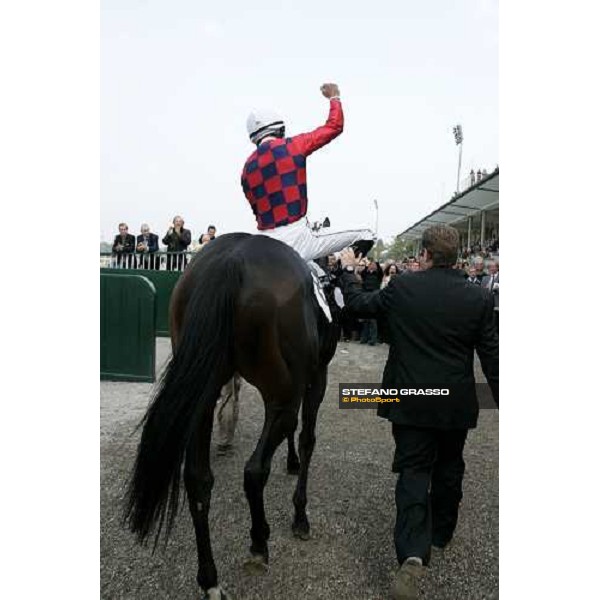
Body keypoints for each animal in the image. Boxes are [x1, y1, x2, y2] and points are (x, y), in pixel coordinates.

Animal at [124, 232, 340, 596]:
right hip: (280, 394)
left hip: (203, 392)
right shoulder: (316, 377)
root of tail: (232, 258)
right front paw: (300, 515)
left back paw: (210, 580)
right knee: (255, 468)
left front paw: (291, 463)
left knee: (198, 478)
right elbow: (307, 438)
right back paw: (259, 541)